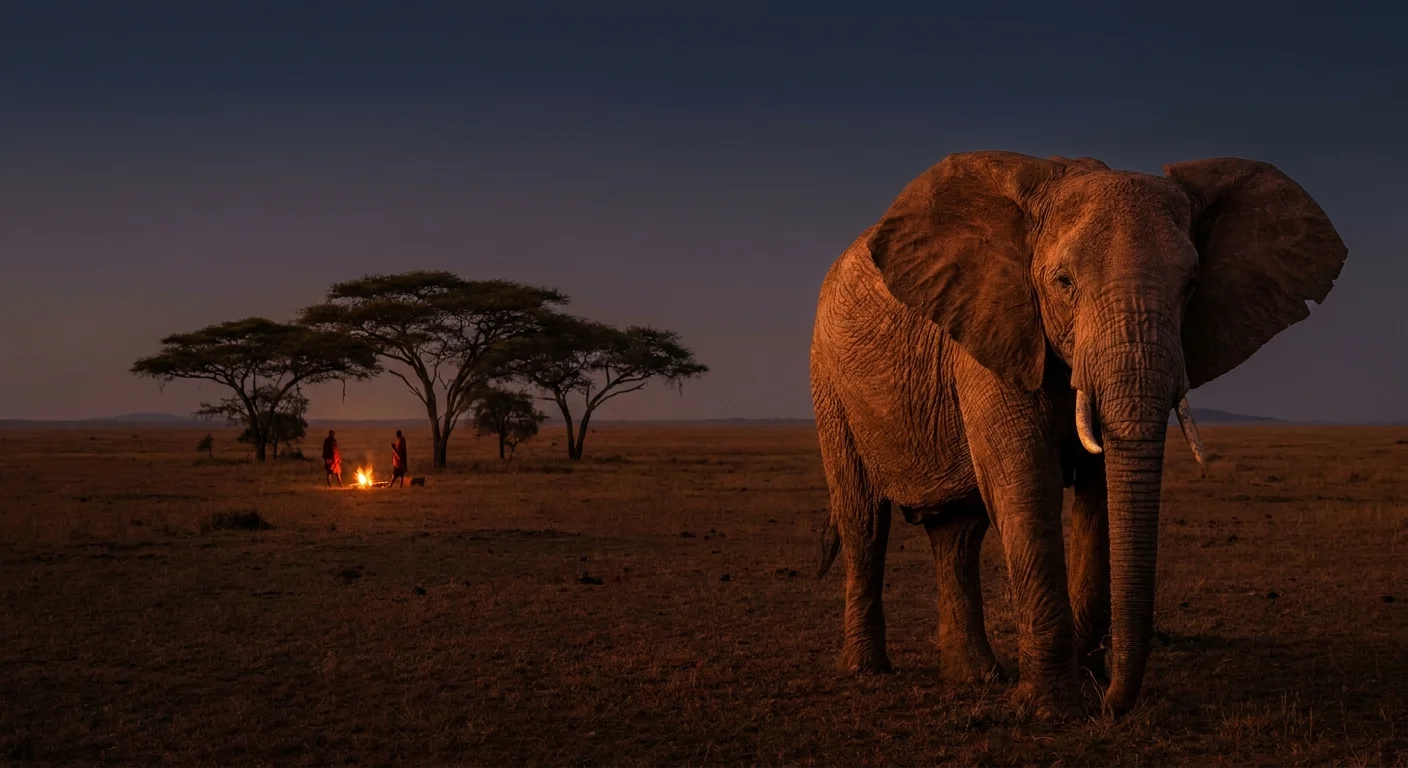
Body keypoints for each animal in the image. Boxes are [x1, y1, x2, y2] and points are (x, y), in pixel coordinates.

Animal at [810, 151, 1347, 719]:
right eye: (1064, 282)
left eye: (1191, 285)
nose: (1110, 704)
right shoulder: (996, 330)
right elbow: (1026, 485)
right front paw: (1053, 711)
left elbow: (1101, 493)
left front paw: (1087, 684)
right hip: (828, 380)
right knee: (864, 520)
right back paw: (867, 670)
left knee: (957, 534)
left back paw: (977, 677)